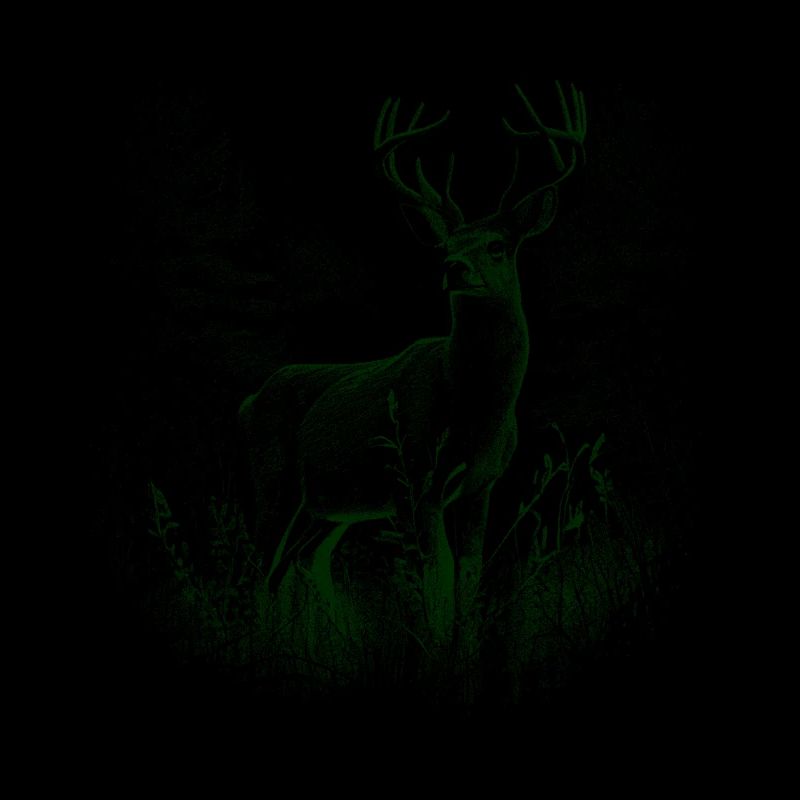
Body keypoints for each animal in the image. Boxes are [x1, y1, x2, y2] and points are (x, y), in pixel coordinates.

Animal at [239, 81, 586, 644]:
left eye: (497, 245)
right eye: (446, 244)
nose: (453, 267)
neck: (472, 410)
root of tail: (248, 402)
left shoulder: (481, 485)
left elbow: (467, 570)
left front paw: (463, 642)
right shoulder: (413, 478)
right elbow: (432, 571)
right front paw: (435, 641)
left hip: (325, 508)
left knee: (298, 565)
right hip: (275, 482)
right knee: (258, 567)